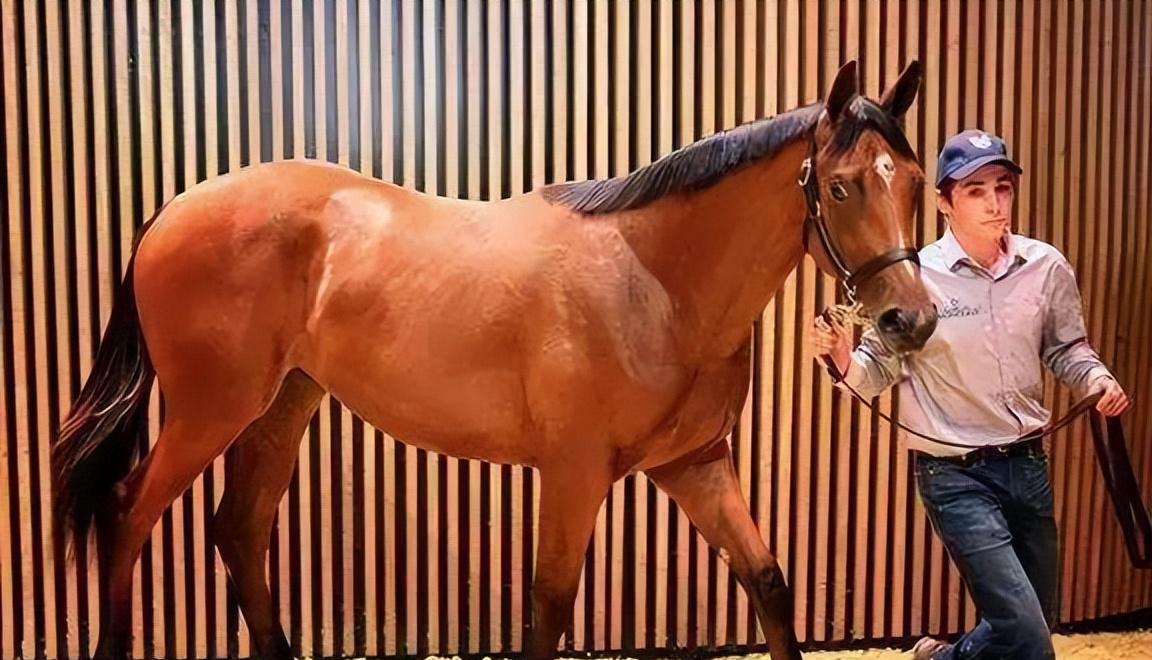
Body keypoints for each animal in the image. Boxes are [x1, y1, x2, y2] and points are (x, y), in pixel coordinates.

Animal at [51, 60, 936, 660]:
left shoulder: (695, 466)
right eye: (843, 185)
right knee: (129, 513)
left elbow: (770, 585)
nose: (911, 320)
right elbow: (550, 606)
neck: (653, 279)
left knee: (239, 530)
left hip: (282, 406)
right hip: (211, 411)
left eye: (914, 179)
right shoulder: (575, 473)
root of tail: (172, 210)